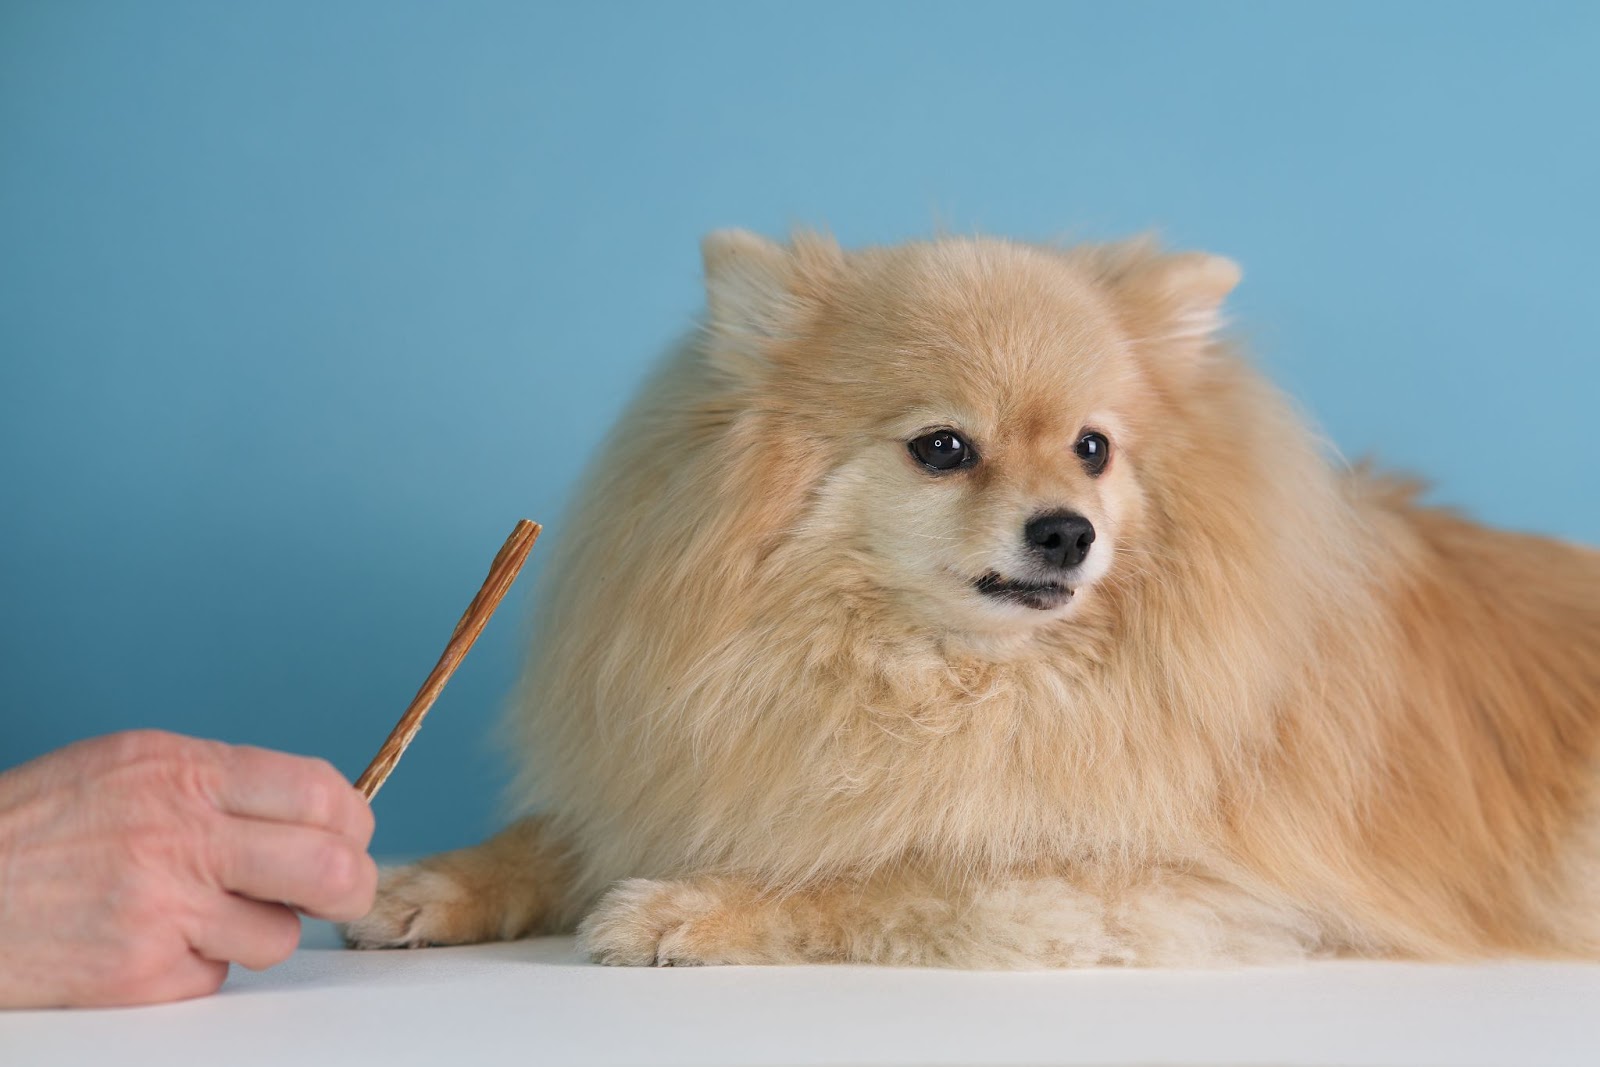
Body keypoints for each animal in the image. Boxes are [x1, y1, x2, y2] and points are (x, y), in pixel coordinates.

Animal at [347, 231, 1600, 966]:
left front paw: (688, 906)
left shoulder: (1166, 879)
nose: (1067, 529)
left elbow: (886, 871)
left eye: (1093, 448)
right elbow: (558, 834)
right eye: (942, 448)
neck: (941, 676)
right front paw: (423, 879)